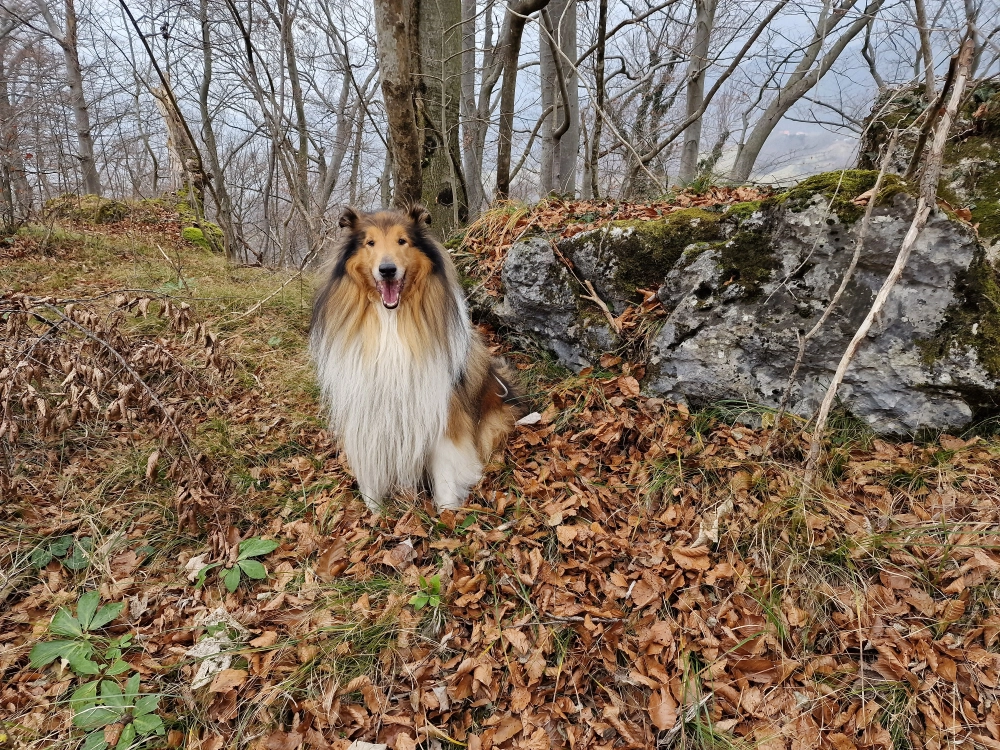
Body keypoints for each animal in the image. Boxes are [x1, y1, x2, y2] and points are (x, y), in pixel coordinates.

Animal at [310, 203, 516, 516]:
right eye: (370, 243)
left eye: (402, 241)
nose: (387, 270)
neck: (391, 320)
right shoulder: (366, 409)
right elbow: (370, 470)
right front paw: (374, 513)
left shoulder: (440, 408)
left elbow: (445, 468)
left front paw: (447, 514)